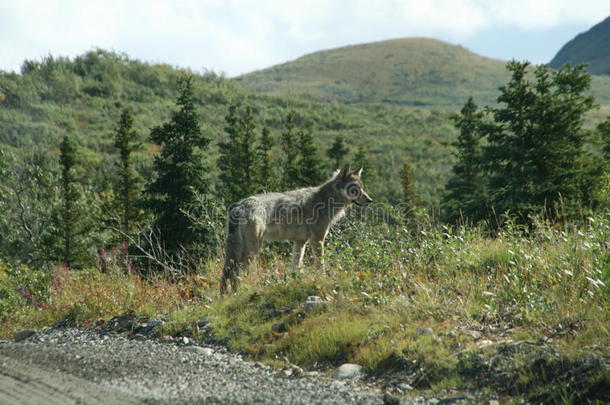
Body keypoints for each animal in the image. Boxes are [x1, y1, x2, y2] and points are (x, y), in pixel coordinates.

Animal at [218, 165, 370, 294]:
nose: (370, 200)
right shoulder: (318, 239)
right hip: (252, 251)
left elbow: (296, 267)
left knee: (225, 273)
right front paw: (322, 278)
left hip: (237, 251)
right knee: (236, 273)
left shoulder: (300, 242)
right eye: (354, 188)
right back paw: (239, 293)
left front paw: (294, 282)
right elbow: (320, 264)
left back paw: (224, 296)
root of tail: (240, 206)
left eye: (362, 188)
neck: (325, 200)